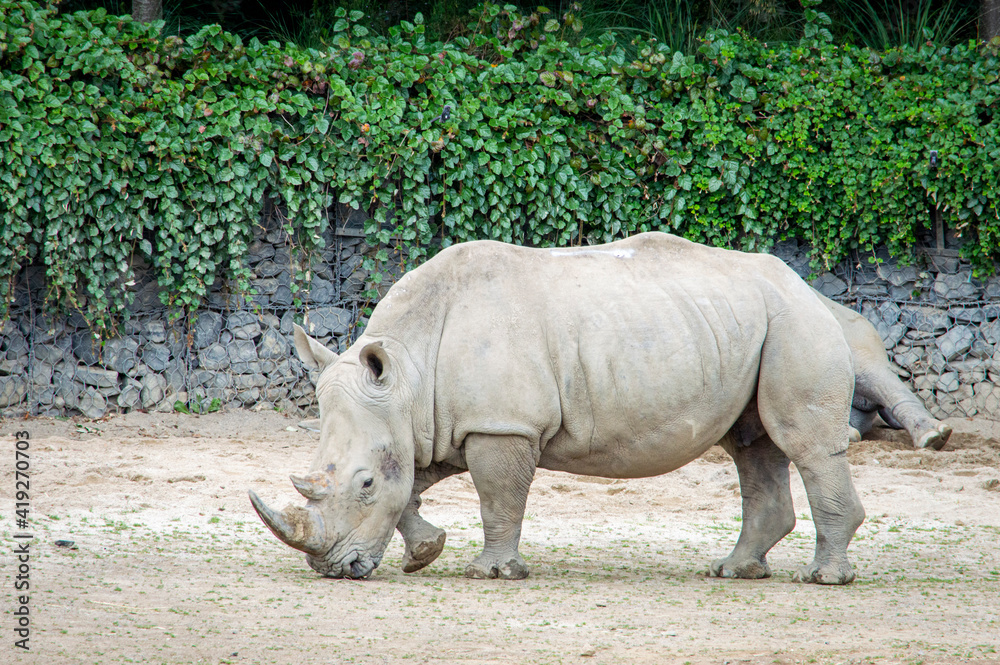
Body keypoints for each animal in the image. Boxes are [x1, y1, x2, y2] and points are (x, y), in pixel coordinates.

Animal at [250, 233, 867, 584]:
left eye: (364, 484)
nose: (330, 569)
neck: (407, 373)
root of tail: (807, 285)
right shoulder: (434, 422)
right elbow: (412, 485)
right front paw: (425, 552)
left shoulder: (502, 425)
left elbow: (496, 497)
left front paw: (494, 573)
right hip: (748, 324)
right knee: (752, 445)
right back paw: (734, 571)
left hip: (795, 320)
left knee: (801, 443)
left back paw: (823, 580)